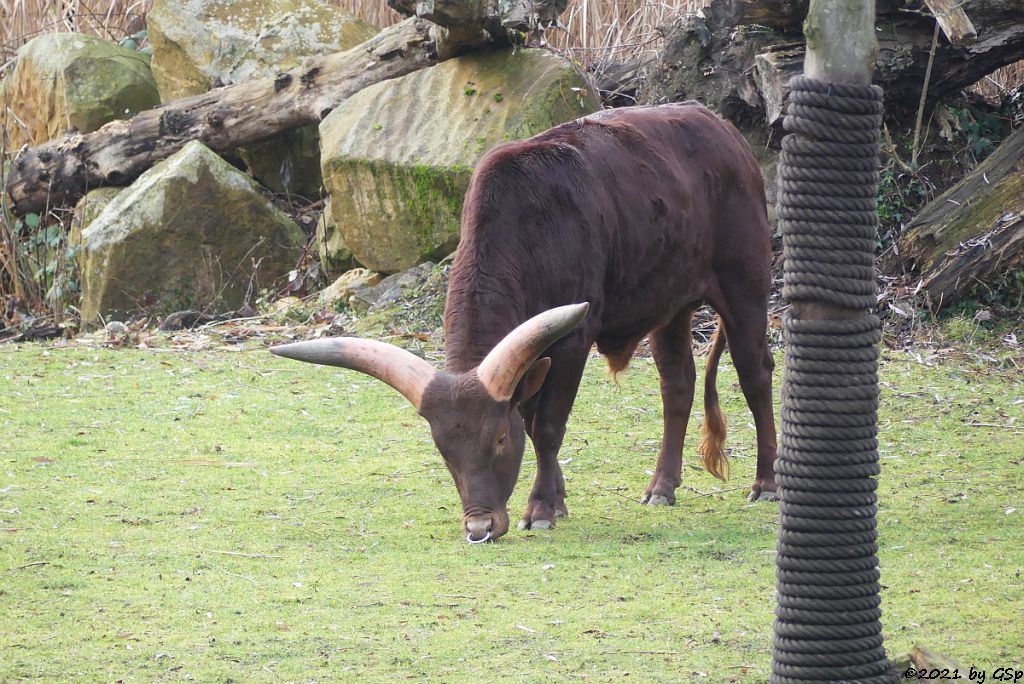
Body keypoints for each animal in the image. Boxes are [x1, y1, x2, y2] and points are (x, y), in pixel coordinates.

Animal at [272, 101, 774, 540]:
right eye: (443, 450)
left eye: (497, 439)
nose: (479, 526)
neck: (529, 226)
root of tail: (721, 128)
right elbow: (532, 422)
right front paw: (557, 498)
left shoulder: (572, 340)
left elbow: (546, 427)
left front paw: (542, 509)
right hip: (669, 303)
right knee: (677, 384)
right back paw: (661, 488)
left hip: (745, 286)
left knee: (755, 373)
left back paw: (765, 483)